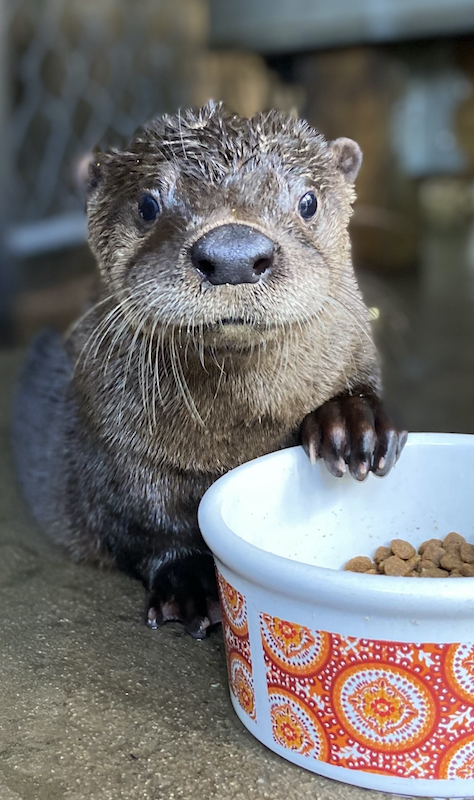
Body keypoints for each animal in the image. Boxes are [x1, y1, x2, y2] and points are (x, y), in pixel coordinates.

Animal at [12, 102, 406, 638]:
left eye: (307, 201)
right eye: (147, 204)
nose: (234, 253)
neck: (233, 436)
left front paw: (350, 423)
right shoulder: (107, 446)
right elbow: (145, 524)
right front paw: (190, 583)